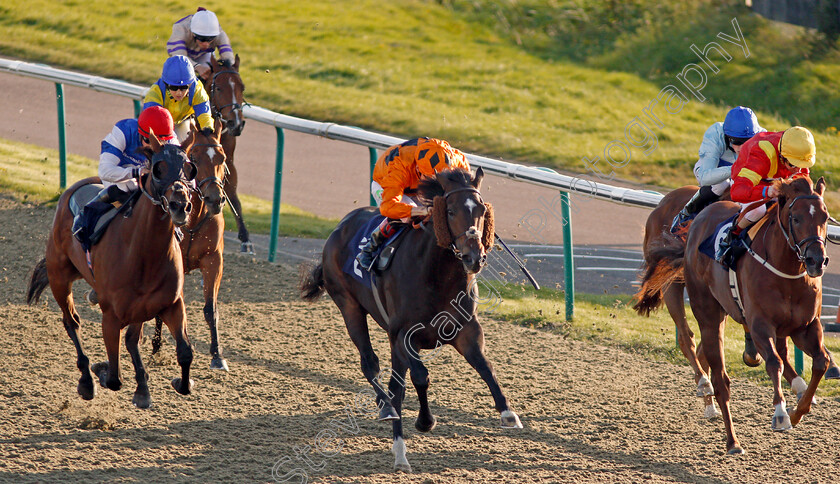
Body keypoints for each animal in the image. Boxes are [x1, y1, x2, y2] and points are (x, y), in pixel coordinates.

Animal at [26, 140, 199, 408]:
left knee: (130, 338)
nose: (180, 205)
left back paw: (141, 387)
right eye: (158, 168)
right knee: (71, 321)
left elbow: (184, 352)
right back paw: (87, 380)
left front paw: (178, 382)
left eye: (189, 168)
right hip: (59, 277)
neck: (144, 254)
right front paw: (101, 369)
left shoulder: (170, 304)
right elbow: (115, 378)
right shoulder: (111, 316)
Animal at [296, 167, 520, 472]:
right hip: (349, 307)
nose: (474, 257)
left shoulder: (467, 330)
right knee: (371, 366)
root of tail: (339, 227)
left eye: (482, 211)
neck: (437, 276)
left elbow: (486, 368)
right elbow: (421, 377)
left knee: (394, 383)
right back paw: (388, 412)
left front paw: (508, 413)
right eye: (450, 211)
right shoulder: (404, 334)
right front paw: (425, 421)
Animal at [640, 177, 832, 454]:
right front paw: (781, 414)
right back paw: (730, 436)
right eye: (795, 218)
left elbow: (820, 362)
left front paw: (798, 410)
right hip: (695, 304)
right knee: (708, 363)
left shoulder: (805, 326)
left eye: (825, 216)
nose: (817, 260)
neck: (787, 272)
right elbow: (774, 362)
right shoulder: (760, 324)